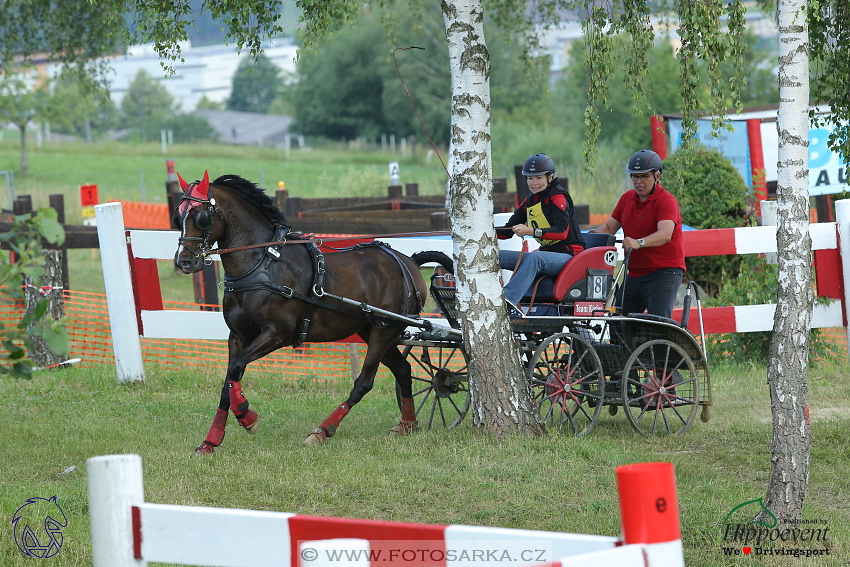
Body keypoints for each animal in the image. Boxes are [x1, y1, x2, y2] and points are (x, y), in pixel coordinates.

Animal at [172, 171, 428, 454]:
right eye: (178, 217)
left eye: (201, 217)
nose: (183, 261)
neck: (261, 264)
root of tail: (408, 262)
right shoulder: (237, 336)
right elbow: (229, 380)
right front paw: (211, 440)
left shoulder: (277, 334)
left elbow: (237, 367)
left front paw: (247, 416)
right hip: (373, 330)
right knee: (403, 370)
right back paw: (408, 424)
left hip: (384, 331)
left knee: (364, 382)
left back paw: (323, 430)